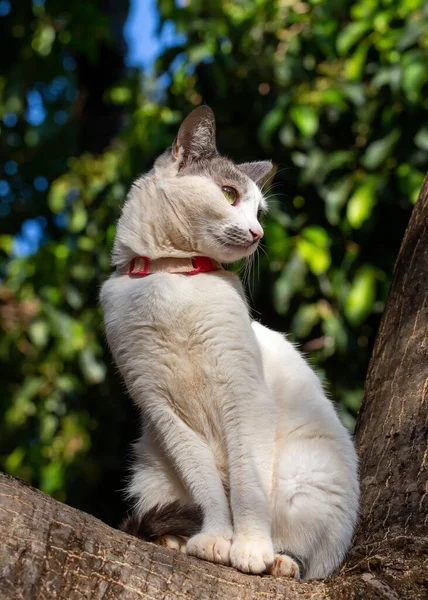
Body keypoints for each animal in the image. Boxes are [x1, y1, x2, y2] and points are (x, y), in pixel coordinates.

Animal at [101, 105, 362, 580]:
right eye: (228, 194)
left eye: (260, 211)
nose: (257, 233)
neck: (175, 277)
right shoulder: (162, 410)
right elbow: (208, 489)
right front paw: (216, 541)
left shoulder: (244, 398)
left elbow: (245, 488)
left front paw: (250, 549)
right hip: (151, 474)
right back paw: (175, 541)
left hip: (304, 480)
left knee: (309, 558)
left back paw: (279, 562)